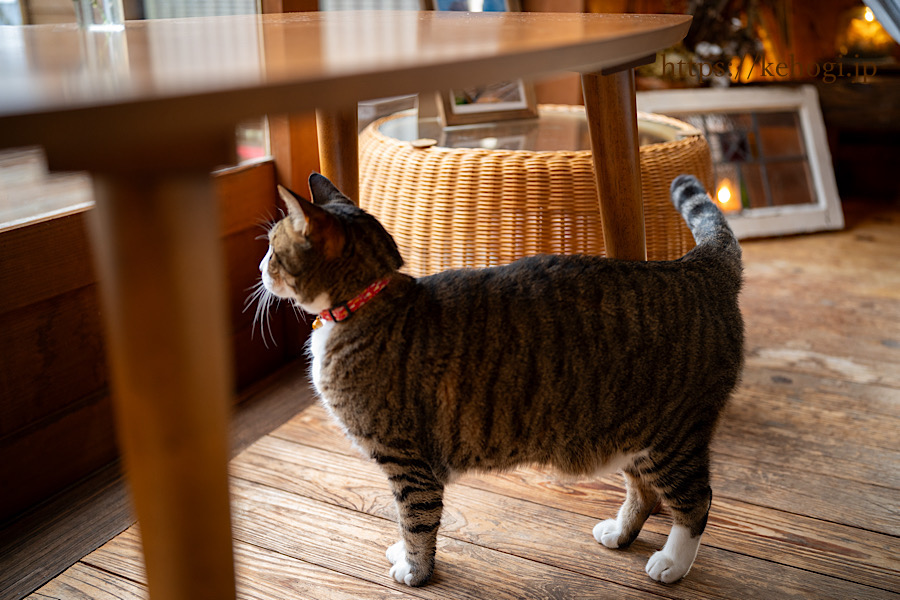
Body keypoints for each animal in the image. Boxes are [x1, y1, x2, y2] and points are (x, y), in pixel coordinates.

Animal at [256, 172, 740, 584]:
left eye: (272, 249)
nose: (259, 268)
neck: (368, 301)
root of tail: (693, 266)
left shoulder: (408, 462)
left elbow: (416, 522)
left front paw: (414, 570)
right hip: (631, 433)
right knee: (646, 492)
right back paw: (620, 534)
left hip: (672, 436)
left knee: (697, 501)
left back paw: (672, 563)